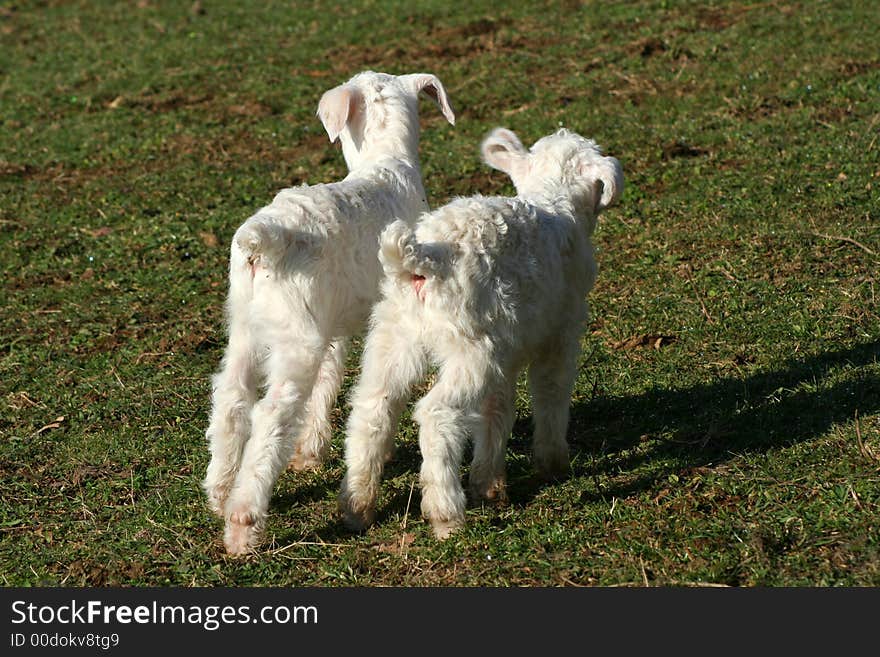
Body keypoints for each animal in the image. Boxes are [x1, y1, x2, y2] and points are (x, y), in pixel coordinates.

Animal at [204, 70, 458, 552]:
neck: (387, 164)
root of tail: (262, 239)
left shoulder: (334, 321)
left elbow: (331, 377)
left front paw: (311, 452)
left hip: (246, 325)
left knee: (231, 398)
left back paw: (218, 493)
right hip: (295, 338)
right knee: (270, 415)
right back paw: (244, 524)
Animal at [336, 127, 620, 540]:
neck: (554, 203)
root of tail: (423, 259)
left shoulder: (508, 347)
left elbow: (498, 408)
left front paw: (489, 485)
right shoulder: (560, 332)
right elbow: (551, 393)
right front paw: (553, 463)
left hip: (393, 335)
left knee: (373, 406)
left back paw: (358, 507)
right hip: (470, 349)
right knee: (436, 414)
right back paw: (445, 514)